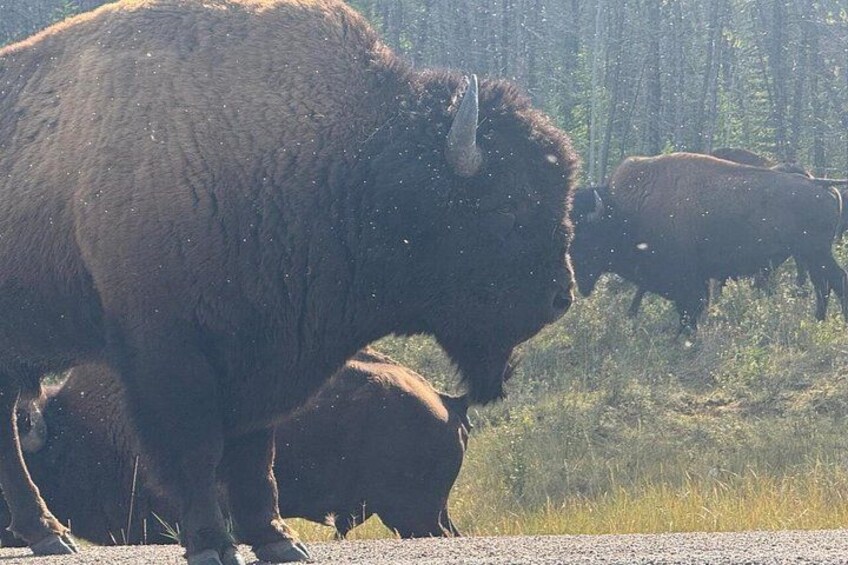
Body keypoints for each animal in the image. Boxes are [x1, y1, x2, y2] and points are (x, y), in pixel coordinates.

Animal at [571, 152, 847, 332]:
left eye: (584, 236)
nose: (576, 281)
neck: (626, 212)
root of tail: (820, 184)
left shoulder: (687, 277)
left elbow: (690, 307)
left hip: (815, 253)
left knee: (835, 280)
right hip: (811, 255)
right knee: (823, 284)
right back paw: (818, 320)